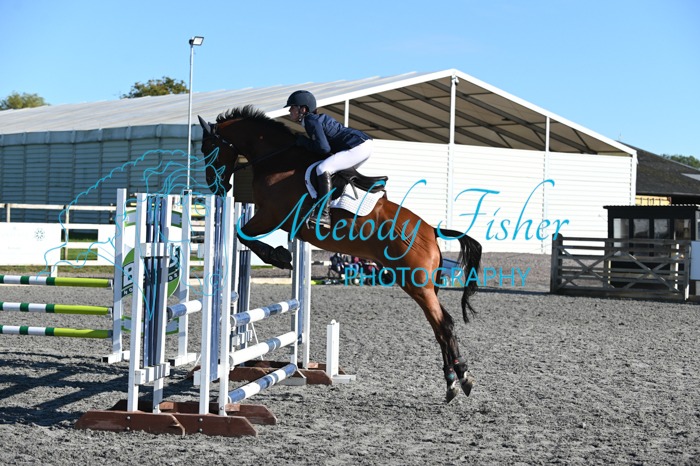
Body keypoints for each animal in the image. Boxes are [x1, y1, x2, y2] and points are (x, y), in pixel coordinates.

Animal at [198, 105, 482, 402]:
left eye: (208, 147)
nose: (215, 186)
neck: (276, 160)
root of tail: (431, 232)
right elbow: (244, 235)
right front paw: (280, 255)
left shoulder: (271, 215)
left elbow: (242, 233)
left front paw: (278, 256)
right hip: (423, 285)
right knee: (440, 326)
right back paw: (453, 380)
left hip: (415, 283)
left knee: (444, 324)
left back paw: (460, 378)